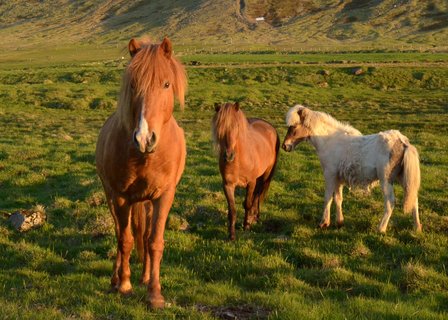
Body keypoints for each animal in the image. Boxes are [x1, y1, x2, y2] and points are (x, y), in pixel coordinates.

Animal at [95, 37, 186, 308]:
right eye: (133, 84)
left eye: (166, 84)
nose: (145, 138)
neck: (144, 157)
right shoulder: (120, 197)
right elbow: (124, 240)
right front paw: (124, 284)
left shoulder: (164, 196)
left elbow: (154, 242)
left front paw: (154, 293)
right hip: (112, 197)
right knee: (120, 233)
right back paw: (115, 279)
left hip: (146, 201)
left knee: (145, 235)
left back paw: (145, 277)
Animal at [212, 102, 278, 240]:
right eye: (220, 127)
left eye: (236, 126)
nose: (228, 156)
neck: (239, 161)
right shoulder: (227, 185)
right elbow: (232, 210)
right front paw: (231, 235)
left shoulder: (251, 183)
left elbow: (247, 203)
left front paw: (246, 225)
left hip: (265, 175)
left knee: (257, 194)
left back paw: (255, 217)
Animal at [282, 105, 422, 232]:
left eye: (293, 126)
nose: (285, 146)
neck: (330, 140)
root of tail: (403, 142)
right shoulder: (338, 179)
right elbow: (338, 199)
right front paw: (339, 222)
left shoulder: (329, 174)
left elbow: (328, 198)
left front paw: (324, 223)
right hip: (403, 178)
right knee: (414, 199)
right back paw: (417, 228)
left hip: (386, 180)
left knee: (390, 203)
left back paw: (381, 228)